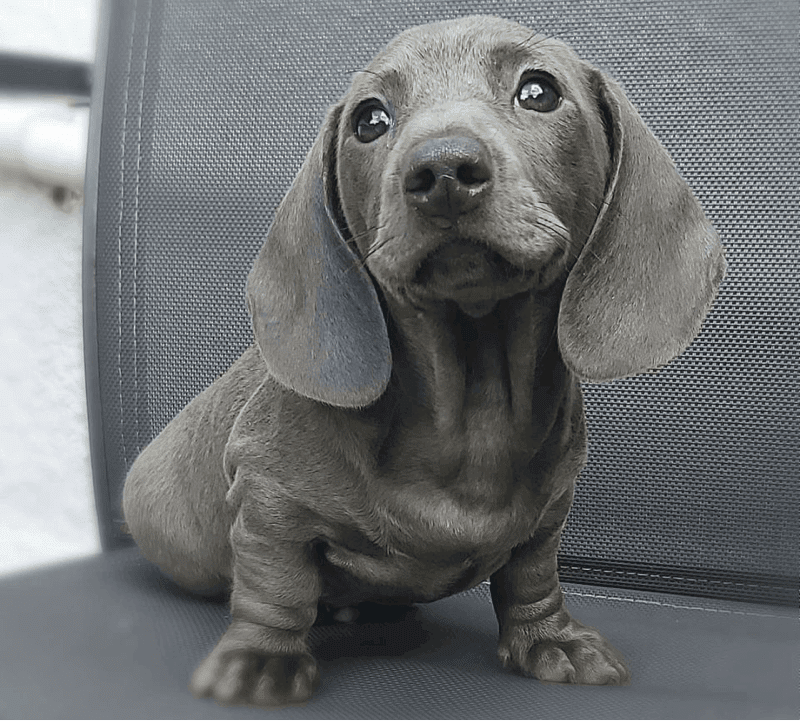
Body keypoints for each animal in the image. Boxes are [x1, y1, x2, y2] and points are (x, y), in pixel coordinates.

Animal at [123, 16, 724, 708]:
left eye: (539, 91)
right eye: (370, 120)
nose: (442, 171)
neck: (471, 404)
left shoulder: (549, 516)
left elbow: (531, 576)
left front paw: (550, 639)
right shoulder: (267, 501)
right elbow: (276, 586)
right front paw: (260, 657)